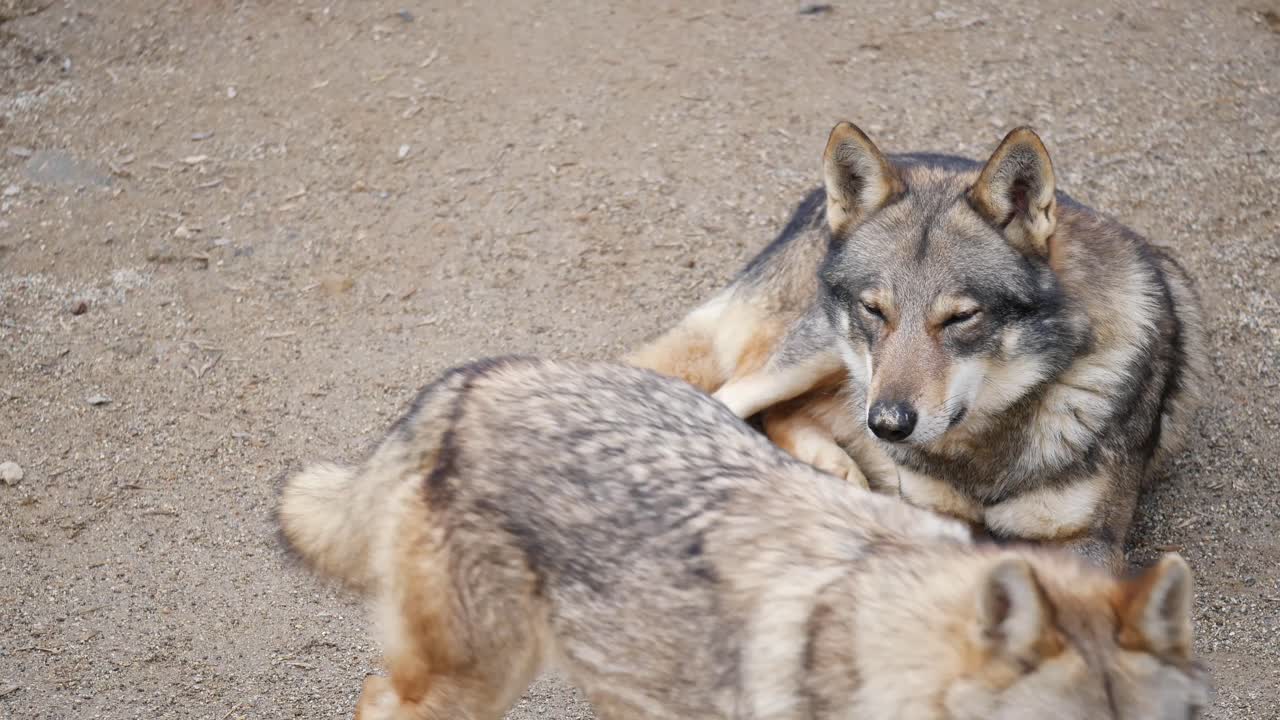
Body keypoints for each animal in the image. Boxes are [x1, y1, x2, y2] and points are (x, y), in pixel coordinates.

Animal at [627, 123, 1207, 570]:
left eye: (960, 317)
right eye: (875, 310)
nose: (888, 425)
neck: (981, 446)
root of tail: (813, 203)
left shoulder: (1086, 544)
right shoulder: (934, 516)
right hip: (806, 360)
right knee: (719, 403)